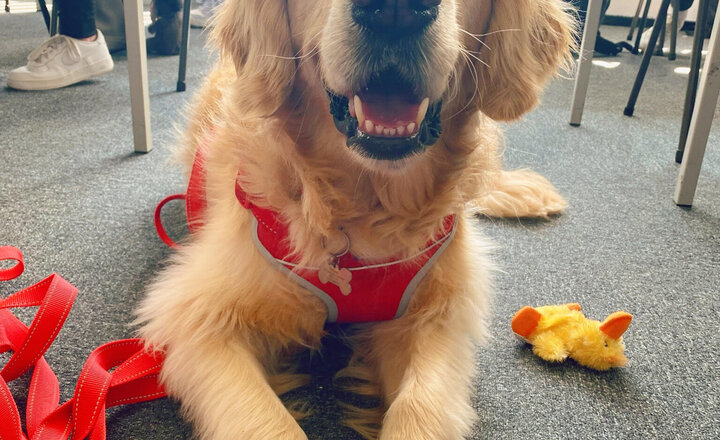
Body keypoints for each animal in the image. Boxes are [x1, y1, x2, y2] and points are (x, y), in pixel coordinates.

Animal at [134, 1, 572, 438]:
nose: (396, 12)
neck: (363, 206)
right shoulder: (197, 317)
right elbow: (267, 422)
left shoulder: (437, 315)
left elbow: (420, 408)